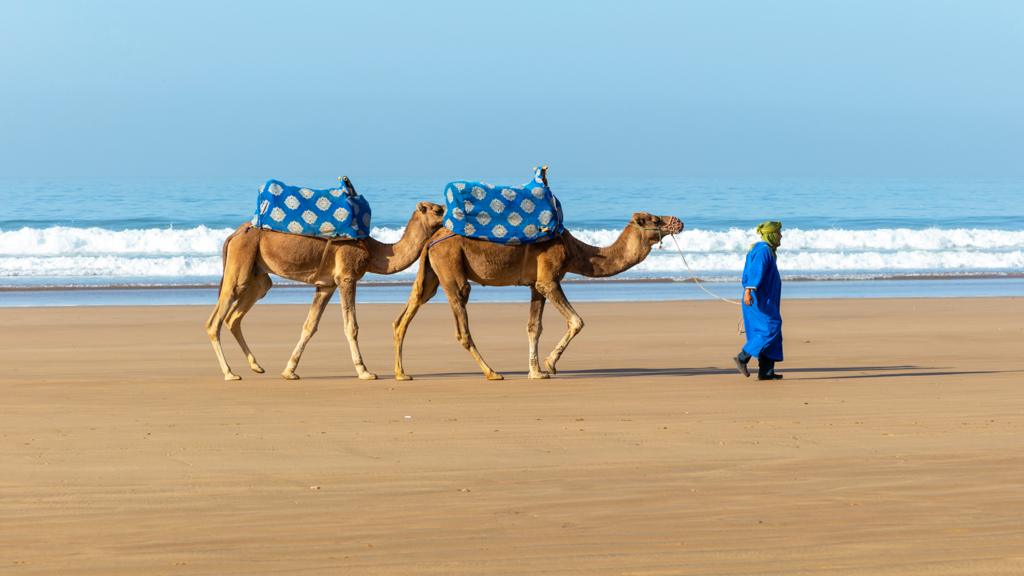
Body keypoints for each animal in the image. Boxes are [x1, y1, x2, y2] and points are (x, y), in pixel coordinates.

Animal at [206, 199, 444, 379]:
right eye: (438, 210)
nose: (449, 215)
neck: (374, 251)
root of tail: (234, 234)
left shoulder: (327, 285)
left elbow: (310, 325)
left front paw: (289, 371)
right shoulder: (347, 277)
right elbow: (351, 326)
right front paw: (365, 371)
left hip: (258, 277)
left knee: (234, 316)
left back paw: (256, 366)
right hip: (240, 264)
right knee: (214, 321)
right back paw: (229, 373)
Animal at [395, 208, 684, 379]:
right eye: (655, 219)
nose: (679, 222)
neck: (575, 251)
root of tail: (432, 239)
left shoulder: (535, 285)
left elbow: (534, 327)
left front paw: (535, 371)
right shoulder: (549, 278)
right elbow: (577, 321)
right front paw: (550, 364)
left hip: (431, 273)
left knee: (407, 312)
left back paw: (402, 373)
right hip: (451, 266)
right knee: (462, 324)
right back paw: (491, 372)